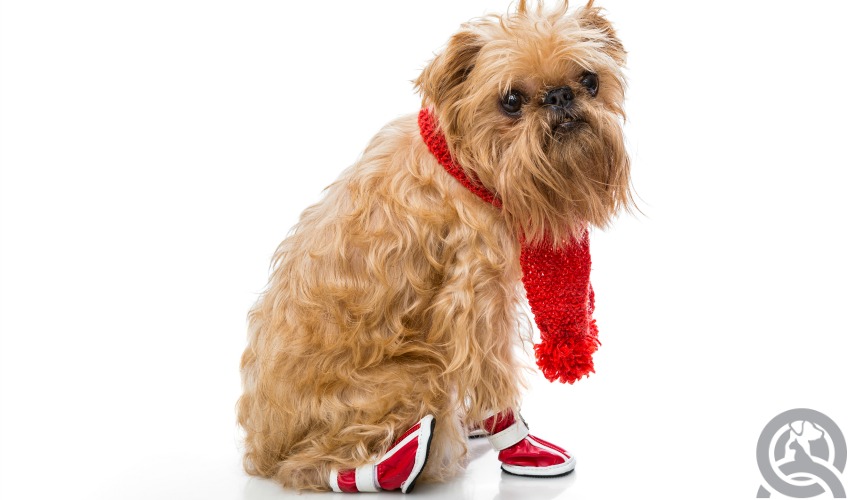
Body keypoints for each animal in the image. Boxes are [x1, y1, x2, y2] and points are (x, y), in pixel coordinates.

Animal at [235, 0, 628, 492]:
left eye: (589, 81)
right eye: (511, 101)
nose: (559, 96)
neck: (466, 164)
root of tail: (261, 449)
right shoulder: (477, 298)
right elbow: (492, 373)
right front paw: (519, 447)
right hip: (412, 377)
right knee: (311, 465)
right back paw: (402, 460)